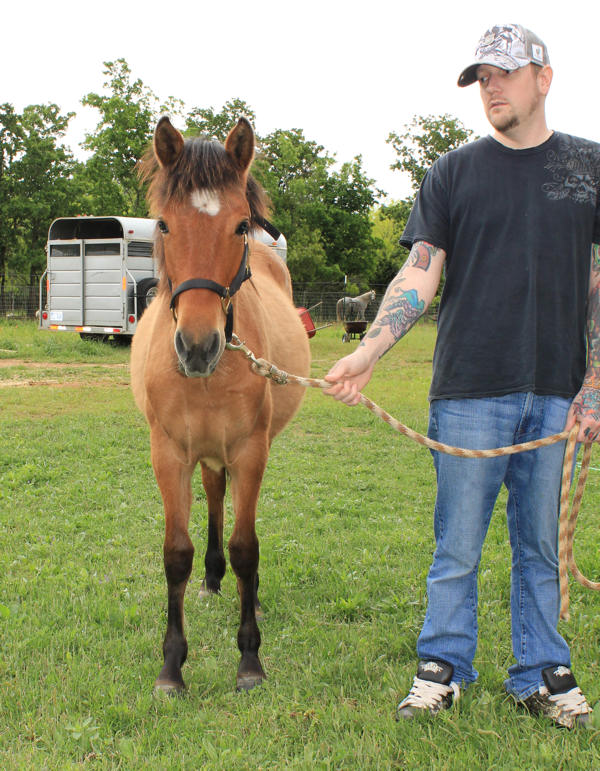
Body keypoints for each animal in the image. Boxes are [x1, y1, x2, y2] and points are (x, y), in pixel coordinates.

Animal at [131, 116, 310, 693]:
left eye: (239, 226)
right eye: (164, 225)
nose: (197, 346)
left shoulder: (252, 450)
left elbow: (246, 548)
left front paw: (249, 657)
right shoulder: (168, 454)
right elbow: (176, 554)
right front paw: (171, 666)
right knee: (213, 492)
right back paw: (212, 578)